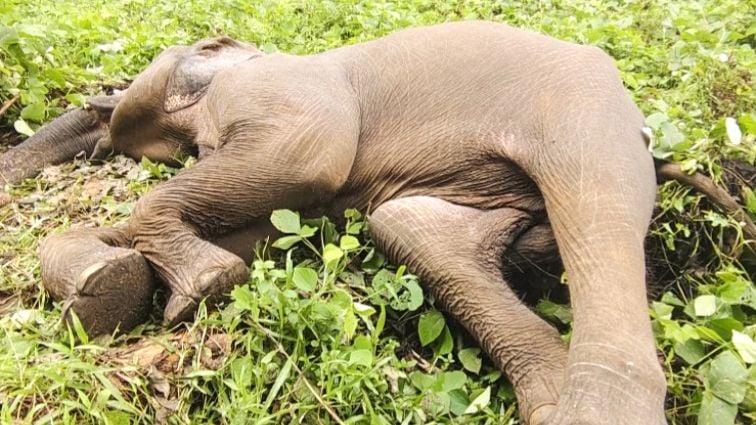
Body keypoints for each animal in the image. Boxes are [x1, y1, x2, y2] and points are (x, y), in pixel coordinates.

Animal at [1, 21, 755, 425]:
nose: (99, 105)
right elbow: (269, 218)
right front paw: (104, 287)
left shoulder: (284, 93)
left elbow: (306, 157)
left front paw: (202, 285)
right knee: (413, 231)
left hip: (583, 108)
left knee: (592, 205)